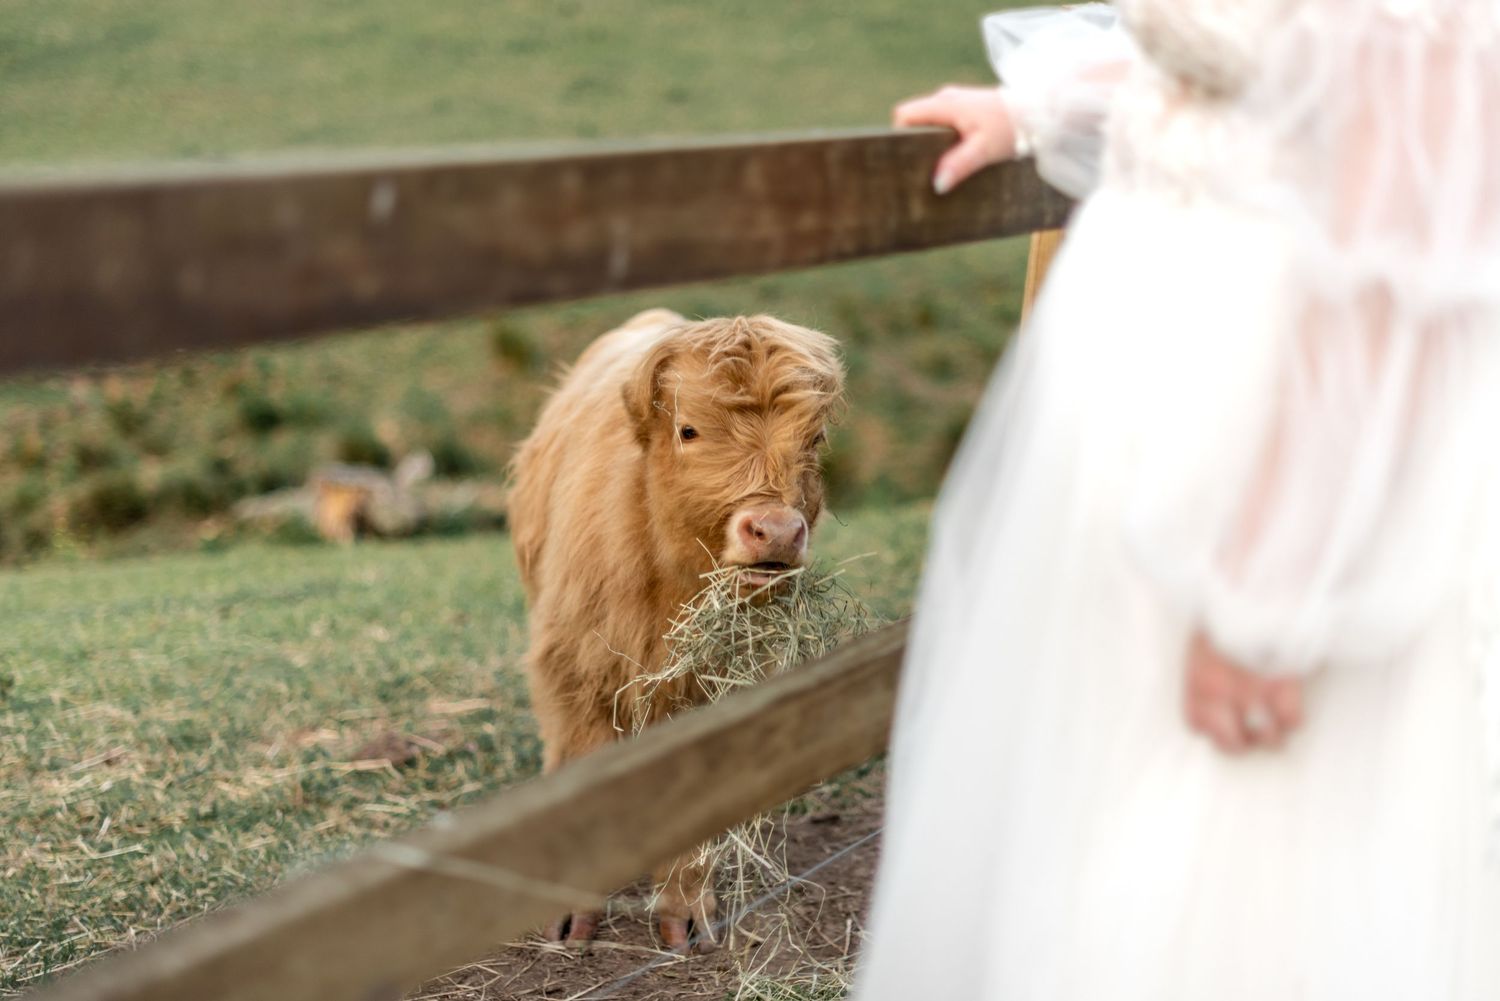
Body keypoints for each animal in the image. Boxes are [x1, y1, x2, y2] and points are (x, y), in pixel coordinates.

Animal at [508, 308, 845, 951]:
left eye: (813, 438)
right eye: (689, 430)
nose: (775, 531)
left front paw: (685, 912)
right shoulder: (576, 672)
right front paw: (571, 917)